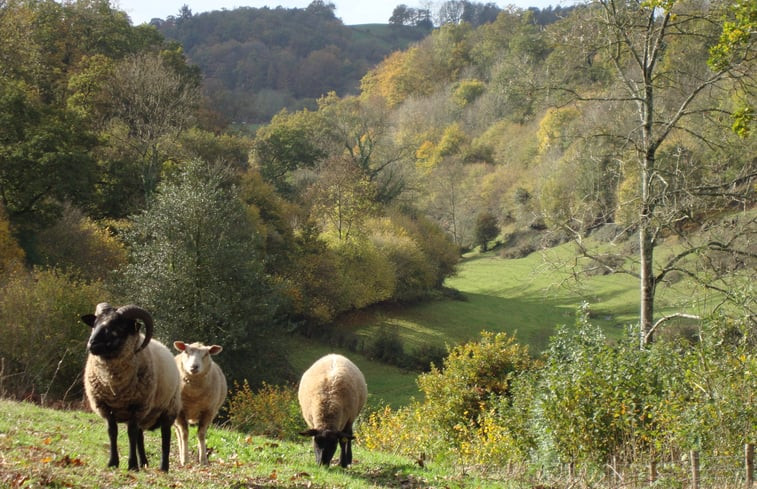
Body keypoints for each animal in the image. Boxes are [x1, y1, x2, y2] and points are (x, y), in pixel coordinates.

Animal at [80, 304, 181, 470]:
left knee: (165, 437)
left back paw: (163, 467)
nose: (92, 344)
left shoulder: (137, 406)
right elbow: (112, 432)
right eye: (94, 324)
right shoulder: (105, 406)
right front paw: (113, 462)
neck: (114, 384)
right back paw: (144, 463)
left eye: (118, 327)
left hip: (169, 409)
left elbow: (131, 433)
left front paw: (132, 464)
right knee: (140, 436)